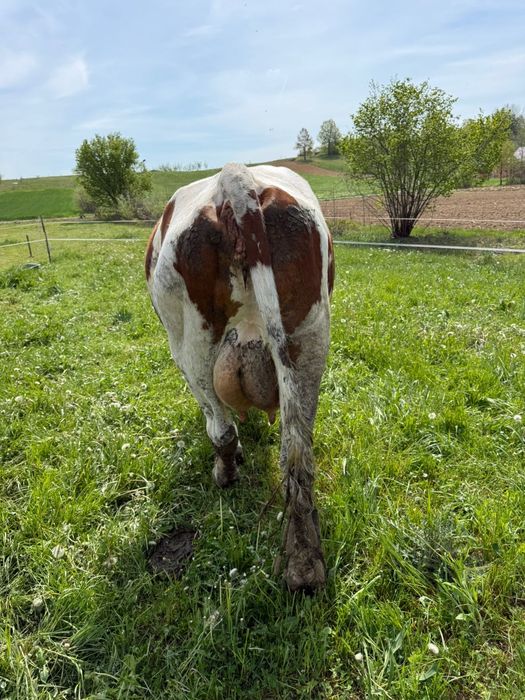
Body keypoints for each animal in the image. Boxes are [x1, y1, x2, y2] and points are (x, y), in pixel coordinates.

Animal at [145, 163, 334, 591]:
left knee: (221, 427)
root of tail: (234, 181)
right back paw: (303, 566)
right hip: (307, 340)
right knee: (297, 452)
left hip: (191, 346)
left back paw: (225, 474)